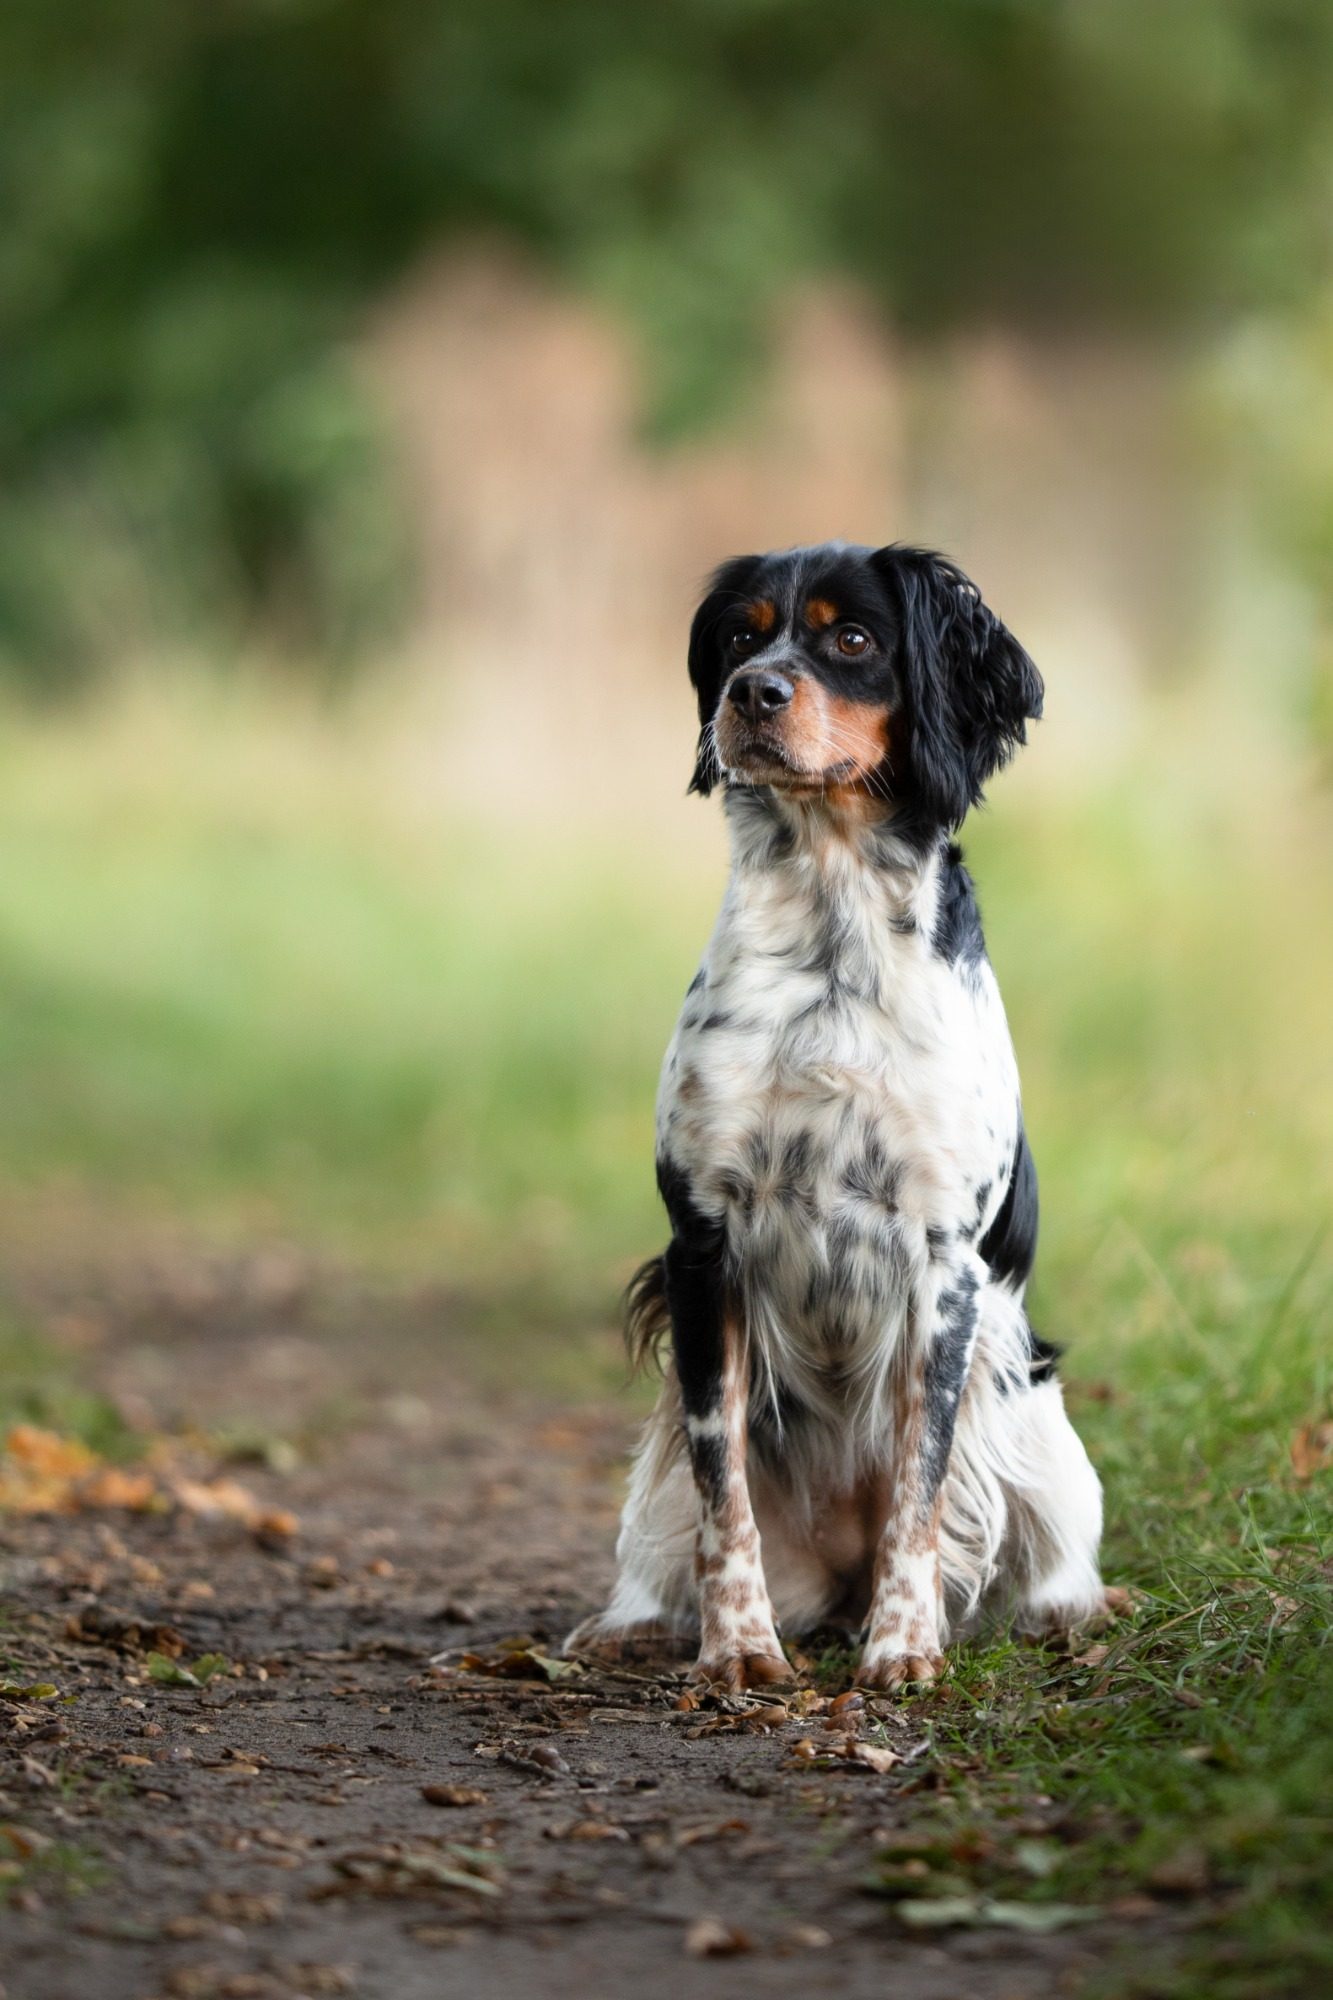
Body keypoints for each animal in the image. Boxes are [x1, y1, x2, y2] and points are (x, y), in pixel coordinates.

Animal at [568, 544, 1096, 1688]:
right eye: (739, 635)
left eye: (850, 638)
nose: (749, 693)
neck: (831, 933)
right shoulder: (702, 1243)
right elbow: (722, 1487)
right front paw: (736, 1646)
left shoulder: (945, 1261)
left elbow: (918, 1479)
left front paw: (903, 1645)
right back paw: (634, 1622)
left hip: (1030, 1398)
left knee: (1045, 1538)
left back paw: (1066, 1606)